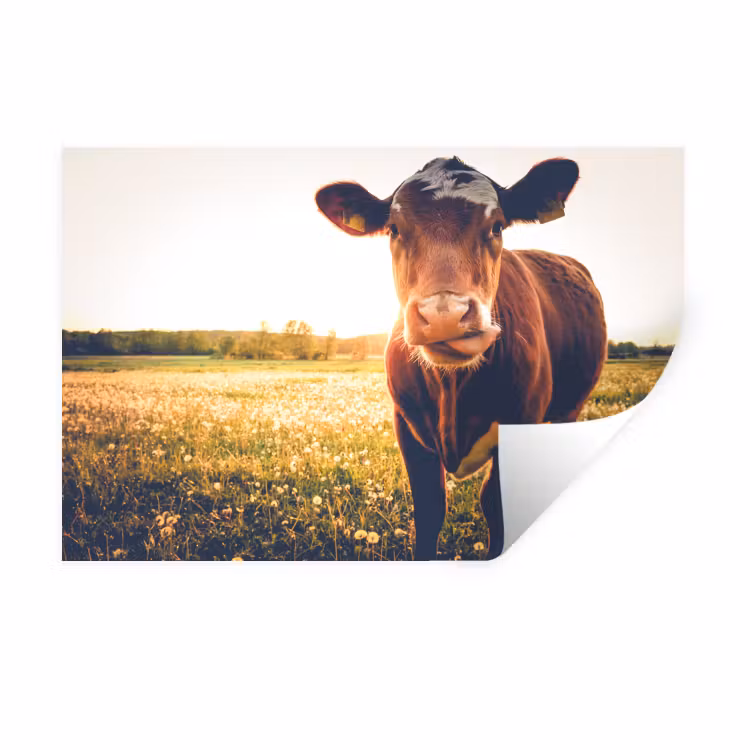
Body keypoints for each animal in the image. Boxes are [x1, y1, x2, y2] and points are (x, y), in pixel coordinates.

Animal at [315, 156, 607, 560]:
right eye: (394, 229)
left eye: (497, 225)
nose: (444, 315)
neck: (452, 389)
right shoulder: (406, 426)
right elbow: (430, 508)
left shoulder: (521, 423)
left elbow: (495, 507)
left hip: (569, 409)